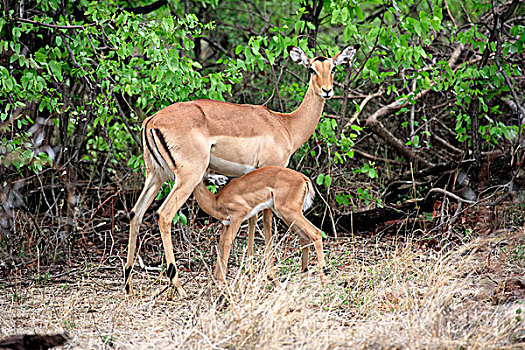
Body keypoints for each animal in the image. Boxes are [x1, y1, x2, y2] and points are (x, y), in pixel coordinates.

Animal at [194, 166, 330, 284]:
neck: (216, 201)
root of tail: (304, 178)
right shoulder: (226, 223)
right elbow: (221, 244)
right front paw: (216, 279)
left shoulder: (237, 216)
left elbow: (227, 242)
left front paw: (222, 281)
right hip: (287, 215)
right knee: (304, 237)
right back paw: (303, 277)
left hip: (289, 212)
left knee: (316, 233)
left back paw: (324, 279)